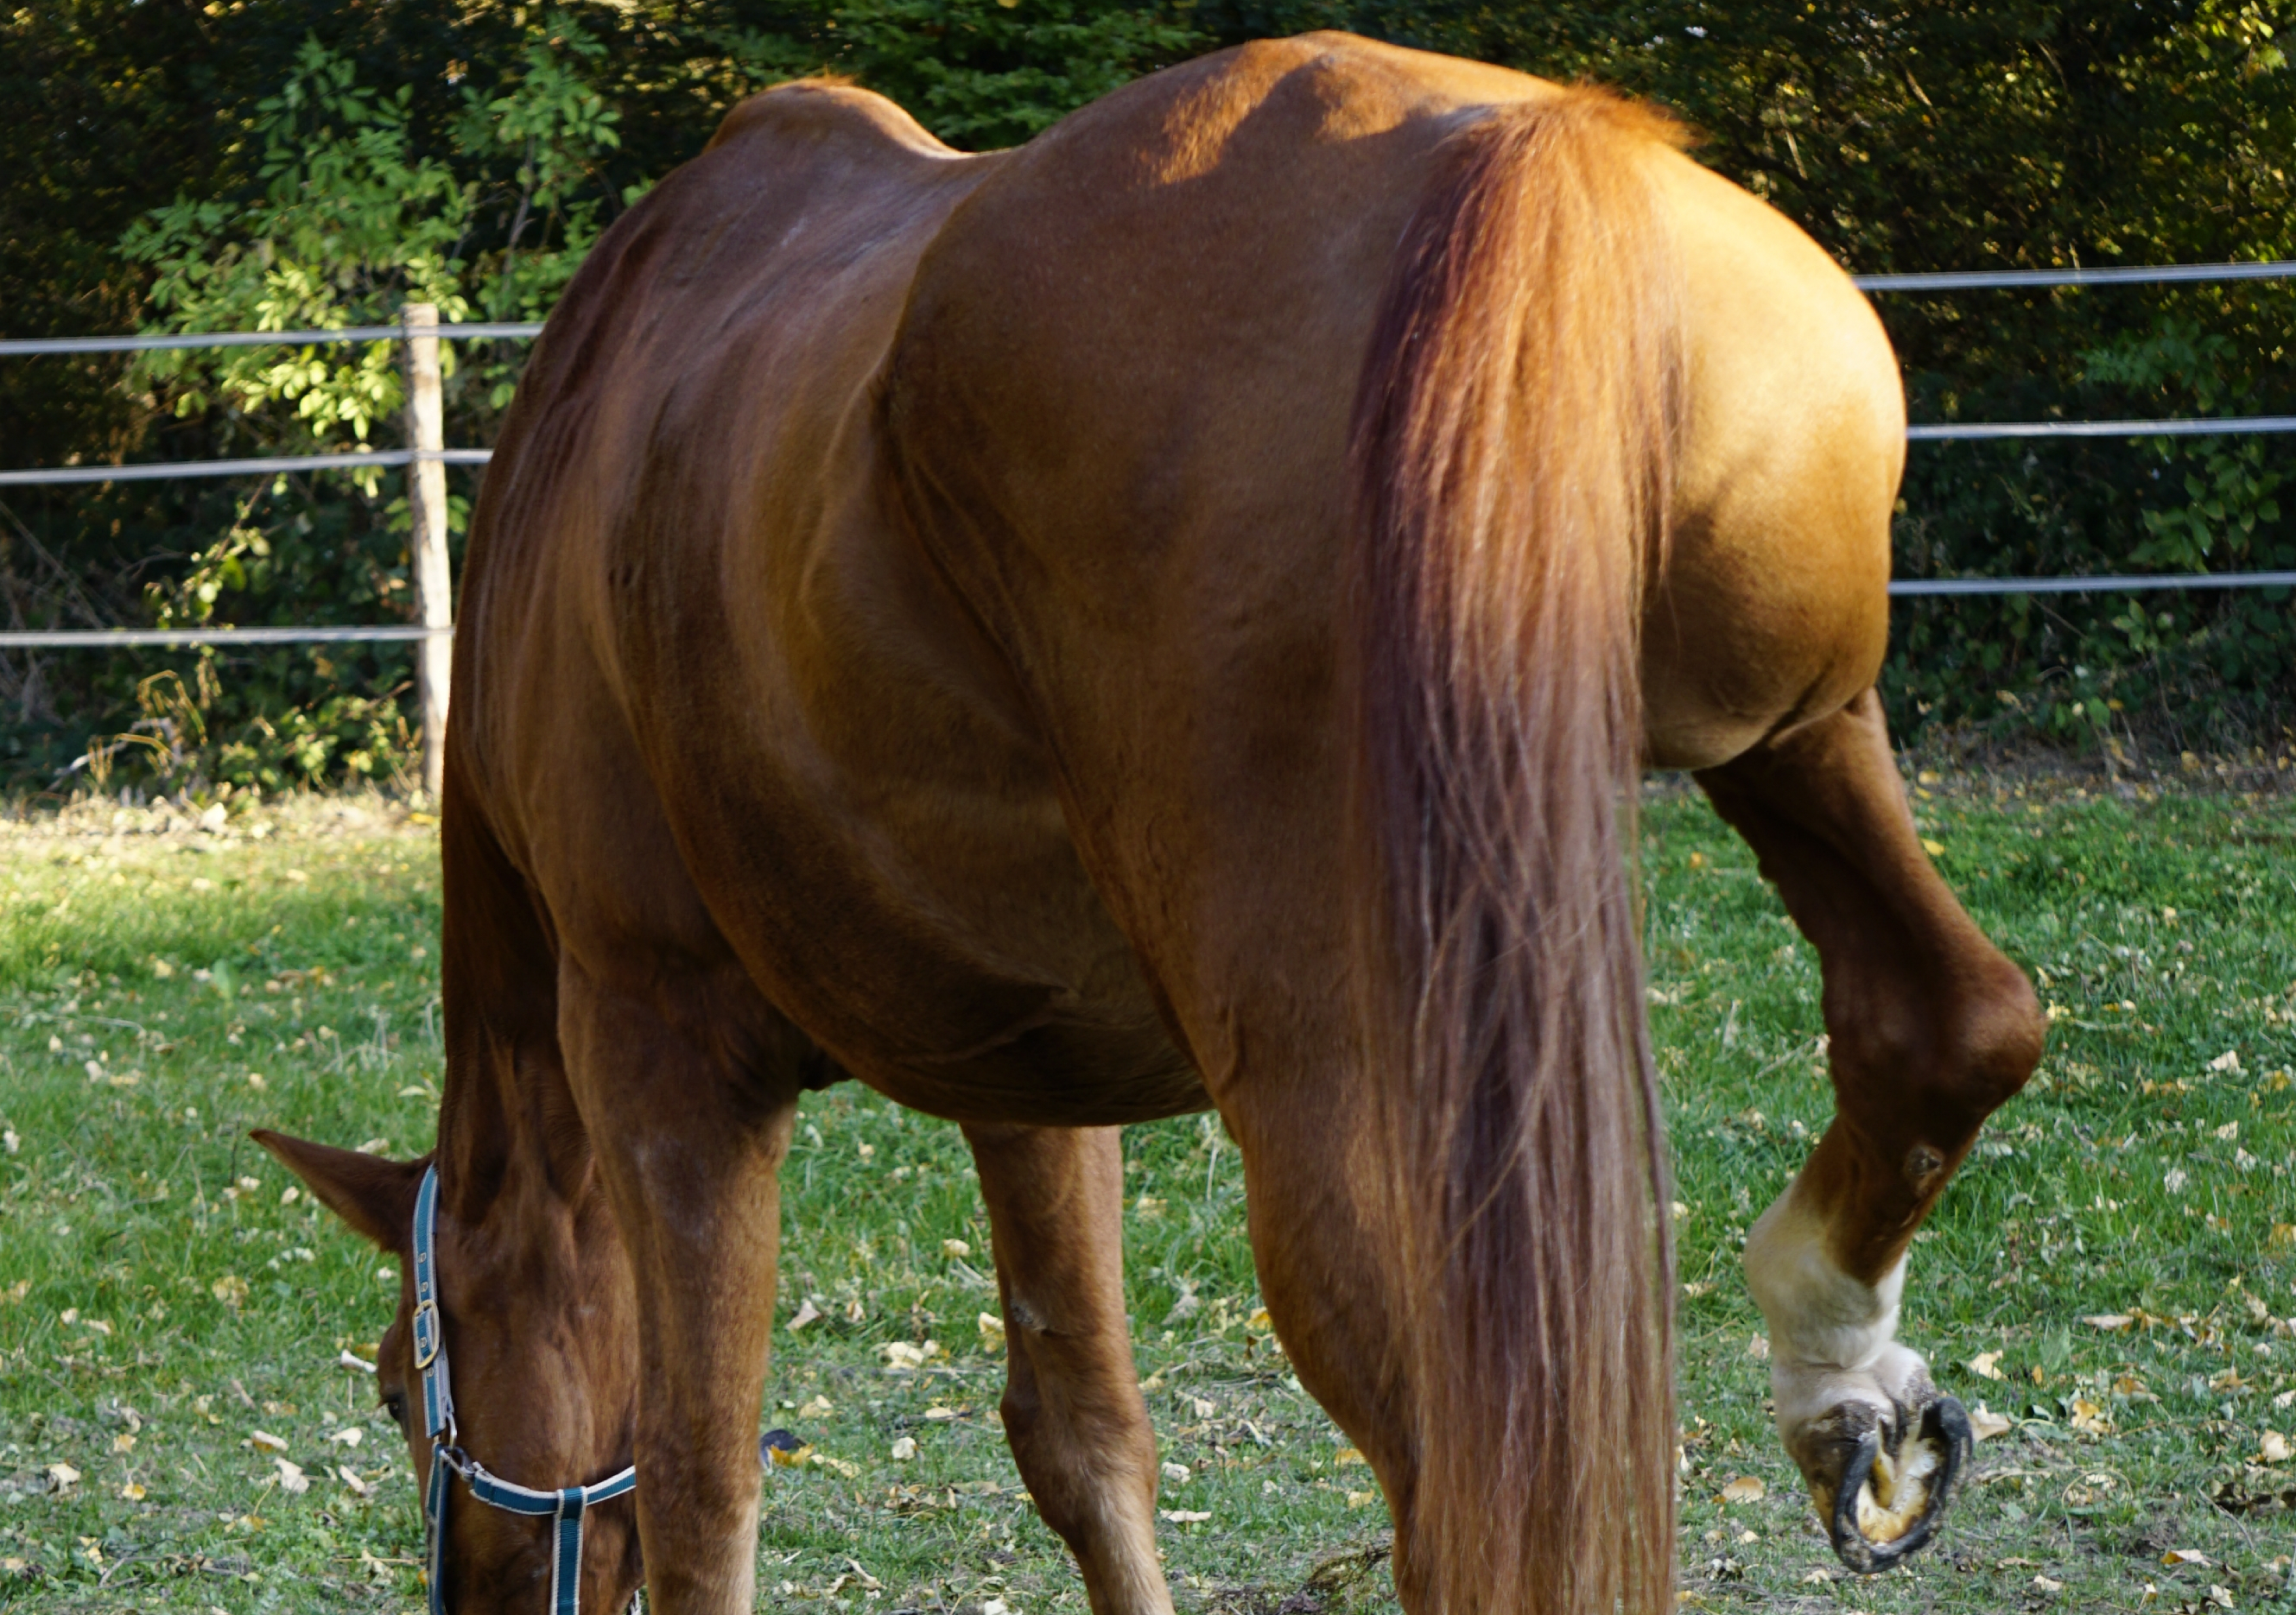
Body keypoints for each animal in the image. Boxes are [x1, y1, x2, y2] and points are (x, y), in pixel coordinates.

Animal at [256, 31, 2047, 1615]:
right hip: (1794, 739)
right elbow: (1082, 1439)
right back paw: (1841, 1376)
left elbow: (703, 1496)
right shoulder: (1025, 1080)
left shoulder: (661, 1064)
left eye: (399, 1389)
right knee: (1949, 1021)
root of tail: (1531, 157)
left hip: (1347, 1120)